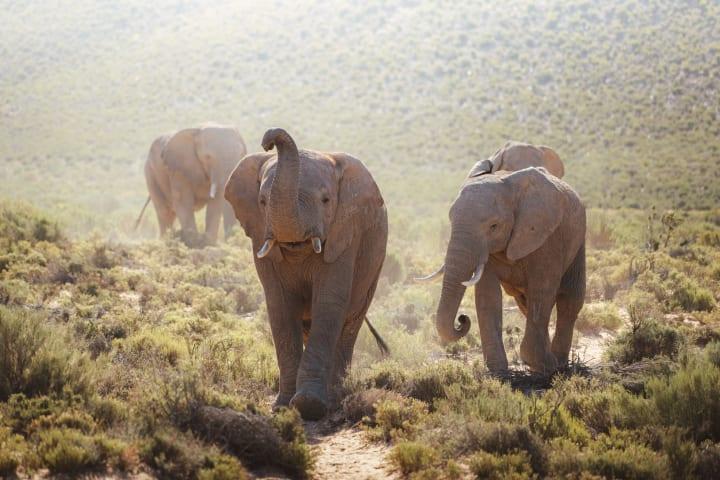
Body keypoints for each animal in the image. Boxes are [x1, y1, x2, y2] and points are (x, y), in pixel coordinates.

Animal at [224, 128, 388, 420]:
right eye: (262, 202)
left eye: (326, 200)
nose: (268, 141)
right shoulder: (259, 235)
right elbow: (279, 305)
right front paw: (283, 407)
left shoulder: (346, 234)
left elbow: (328, 302)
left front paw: (309, 405)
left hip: (374, 264)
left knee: (349, 324)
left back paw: (335, 397)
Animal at [422, 167, 584, 374]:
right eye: (451, 221)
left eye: (494, 226)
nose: (462, 319)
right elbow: (488, 295)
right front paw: (497, 370)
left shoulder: (547, 236)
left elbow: (543, 290)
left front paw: (543, 365)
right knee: (525, 303)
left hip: (579, 239)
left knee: (570, 299)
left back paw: (559, 363)